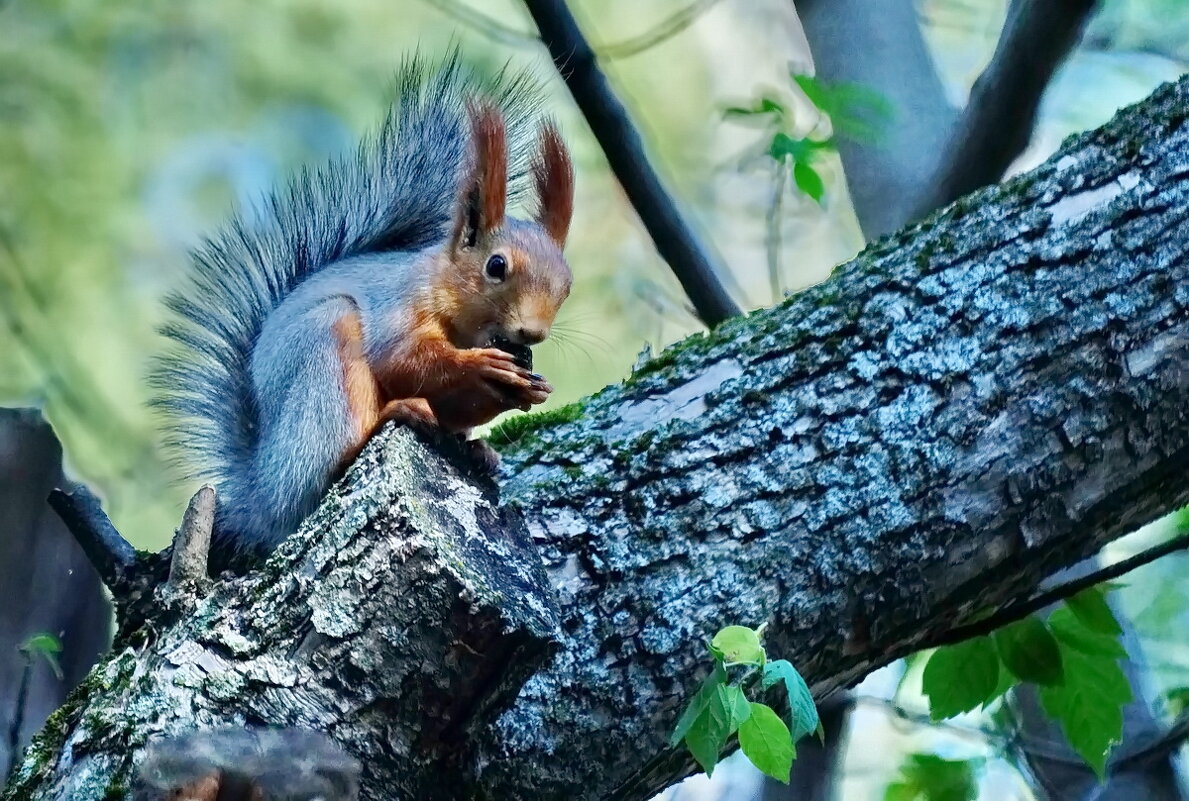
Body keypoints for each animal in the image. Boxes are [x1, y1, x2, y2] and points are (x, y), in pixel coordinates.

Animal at [148, 56, 575, 558]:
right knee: (322, 469)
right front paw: (482, 367)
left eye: (567, 286)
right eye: (496, 266)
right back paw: (386, 422)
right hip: (324, 357)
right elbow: (400, 361)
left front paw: (528, 388)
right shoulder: (397, 305)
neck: (460, 318)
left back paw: (476, 451)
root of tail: (265, 500)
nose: (533, 333)